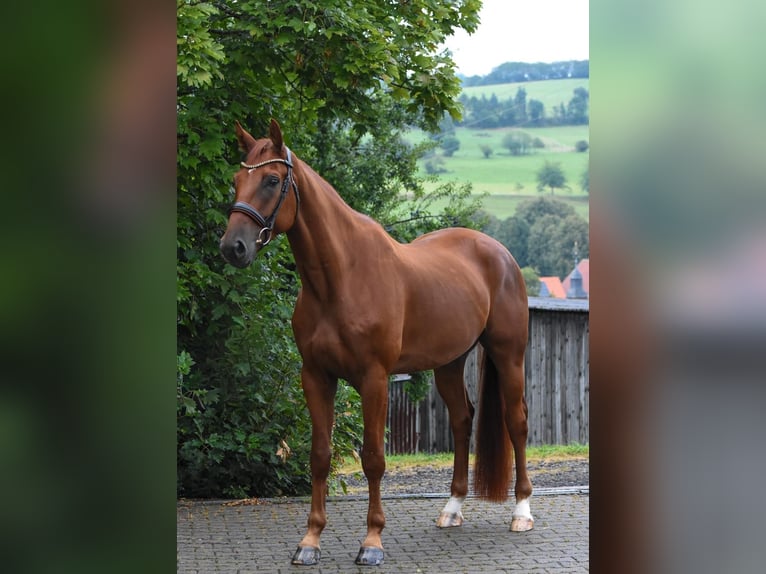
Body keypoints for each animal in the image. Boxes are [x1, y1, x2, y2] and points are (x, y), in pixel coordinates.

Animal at [220, 120, 534, 566]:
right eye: (236, 180)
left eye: (271, 180)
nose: (234, 247)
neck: (340, 278)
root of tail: (499, 252)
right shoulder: (315, 376)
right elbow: (320, 456)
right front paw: (310, 541)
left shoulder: (374, 379)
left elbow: (373, 459)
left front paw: (371, 542)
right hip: (448, 363)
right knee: (462, 419)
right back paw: (451, 509)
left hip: (509, 356)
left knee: (516, 422)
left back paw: (522, 512)